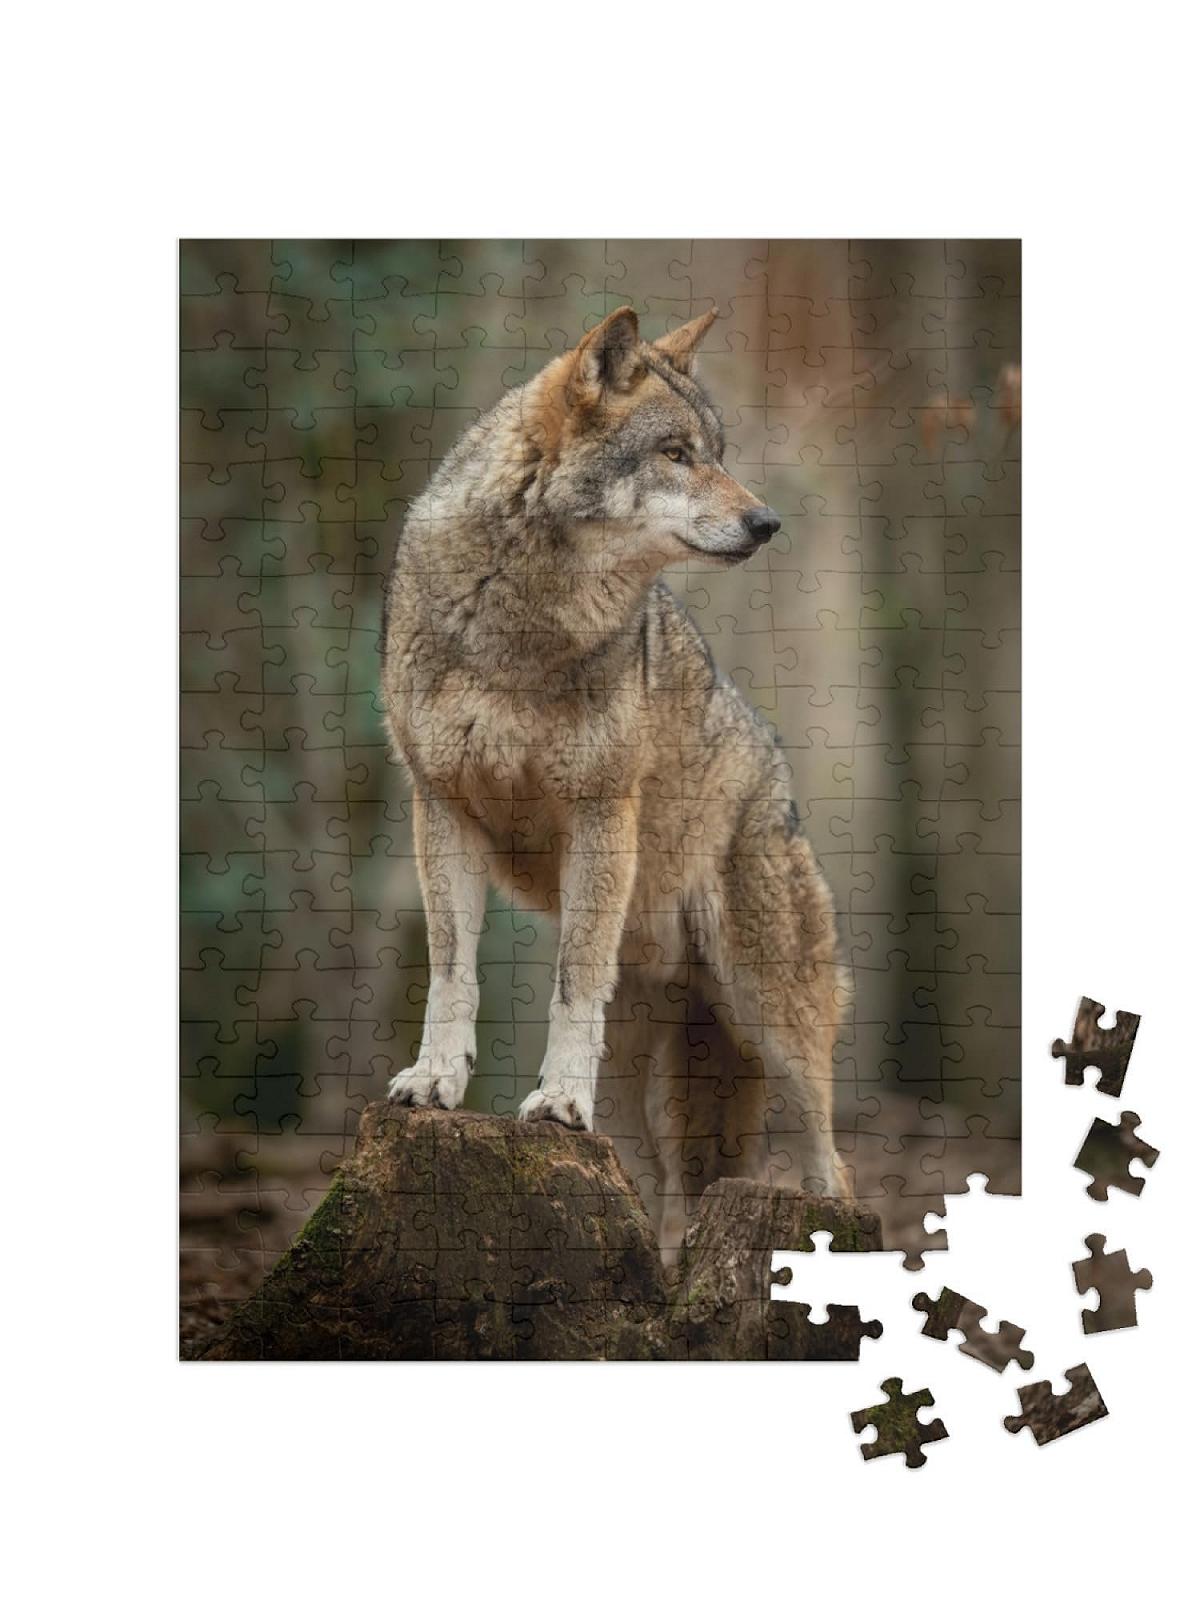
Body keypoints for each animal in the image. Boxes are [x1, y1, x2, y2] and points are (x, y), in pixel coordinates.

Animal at [381, 305, 848, 1254]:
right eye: (675, 453)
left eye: (717, 450)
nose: (768, 522)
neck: (521, 621)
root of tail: (779, 781)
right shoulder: (440, 809)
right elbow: (452, 972)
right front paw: (435, 1082)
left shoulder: (599, 813)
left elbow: (571, 980)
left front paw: (557, 1101)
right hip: (658, 1091)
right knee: (662, 1199)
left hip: (769, 1017)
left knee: (833, 1163)